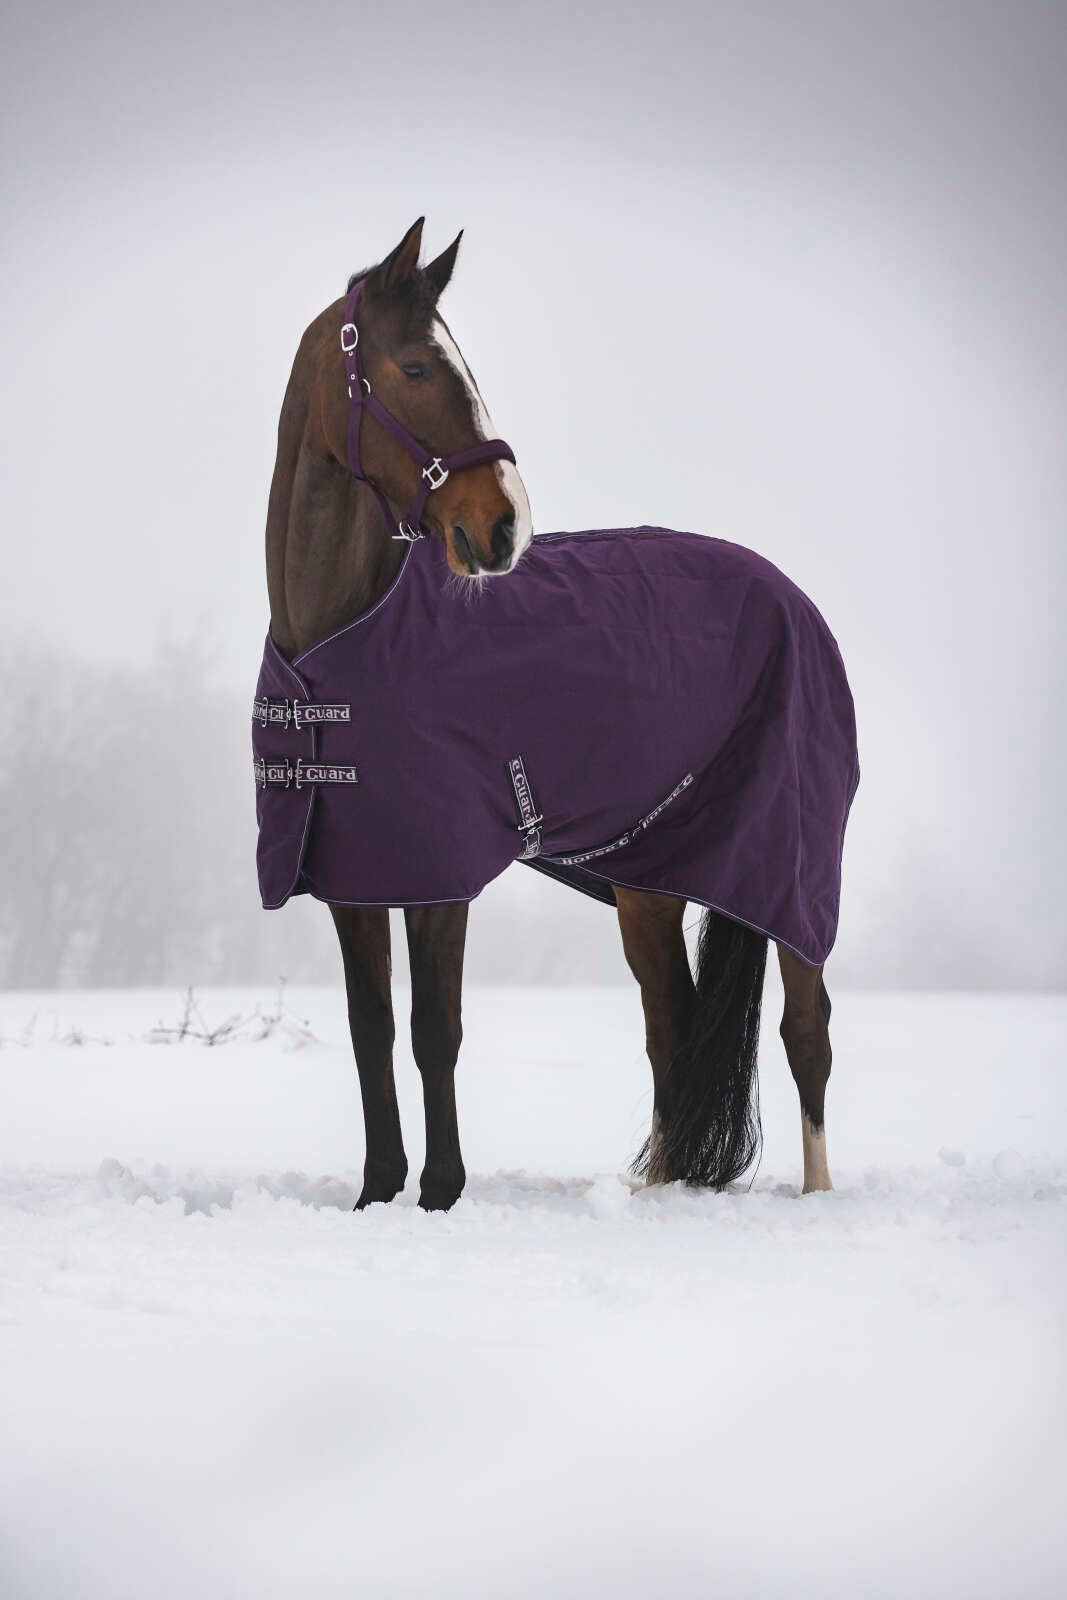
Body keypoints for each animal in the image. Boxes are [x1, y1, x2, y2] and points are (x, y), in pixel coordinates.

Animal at [258, 217, 858, 1211]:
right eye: (415, 367)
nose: (504, 527)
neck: (340, 642)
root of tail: (795, 603)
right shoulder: (355, 871)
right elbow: (370, 1026)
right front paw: (378, 1192)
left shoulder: (438, 871)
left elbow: (436, 1029)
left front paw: (440, 1193)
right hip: (651, 884)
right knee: (671, 1025)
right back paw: (663, 1191)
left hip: (789, 872)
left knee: (804, 1032)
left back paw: (814, 1199)